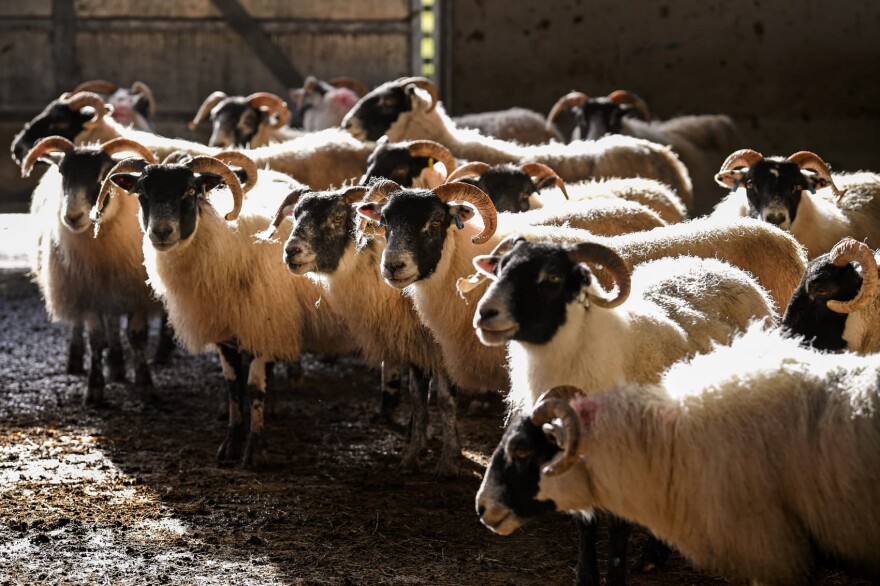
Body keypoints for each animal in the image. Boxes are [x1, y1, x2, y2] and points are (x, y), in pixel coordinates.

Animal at [21, 136, 167, 403]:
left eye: (103, 175)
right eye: (62, 172)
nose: (73, 217)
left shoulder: (135, 290)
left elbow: (136, 336)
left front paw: (145, 384)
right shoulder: (88, 294)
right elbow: (96, 339)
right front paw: (94, 389)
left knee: (114, 321)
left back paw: (117, 365)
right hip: (73, 286)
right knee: (79, 324)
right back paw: (77, 358)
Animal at [96, 153, 355, 468]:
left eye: (191, 191)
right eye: (142, 193)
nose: (161, 232)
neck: (227, 247)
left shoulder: (263, 324)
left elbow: (254, 387)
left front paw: (254, 449)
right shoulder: (225, 332)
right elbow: (234, 387)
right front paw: (230, 444)